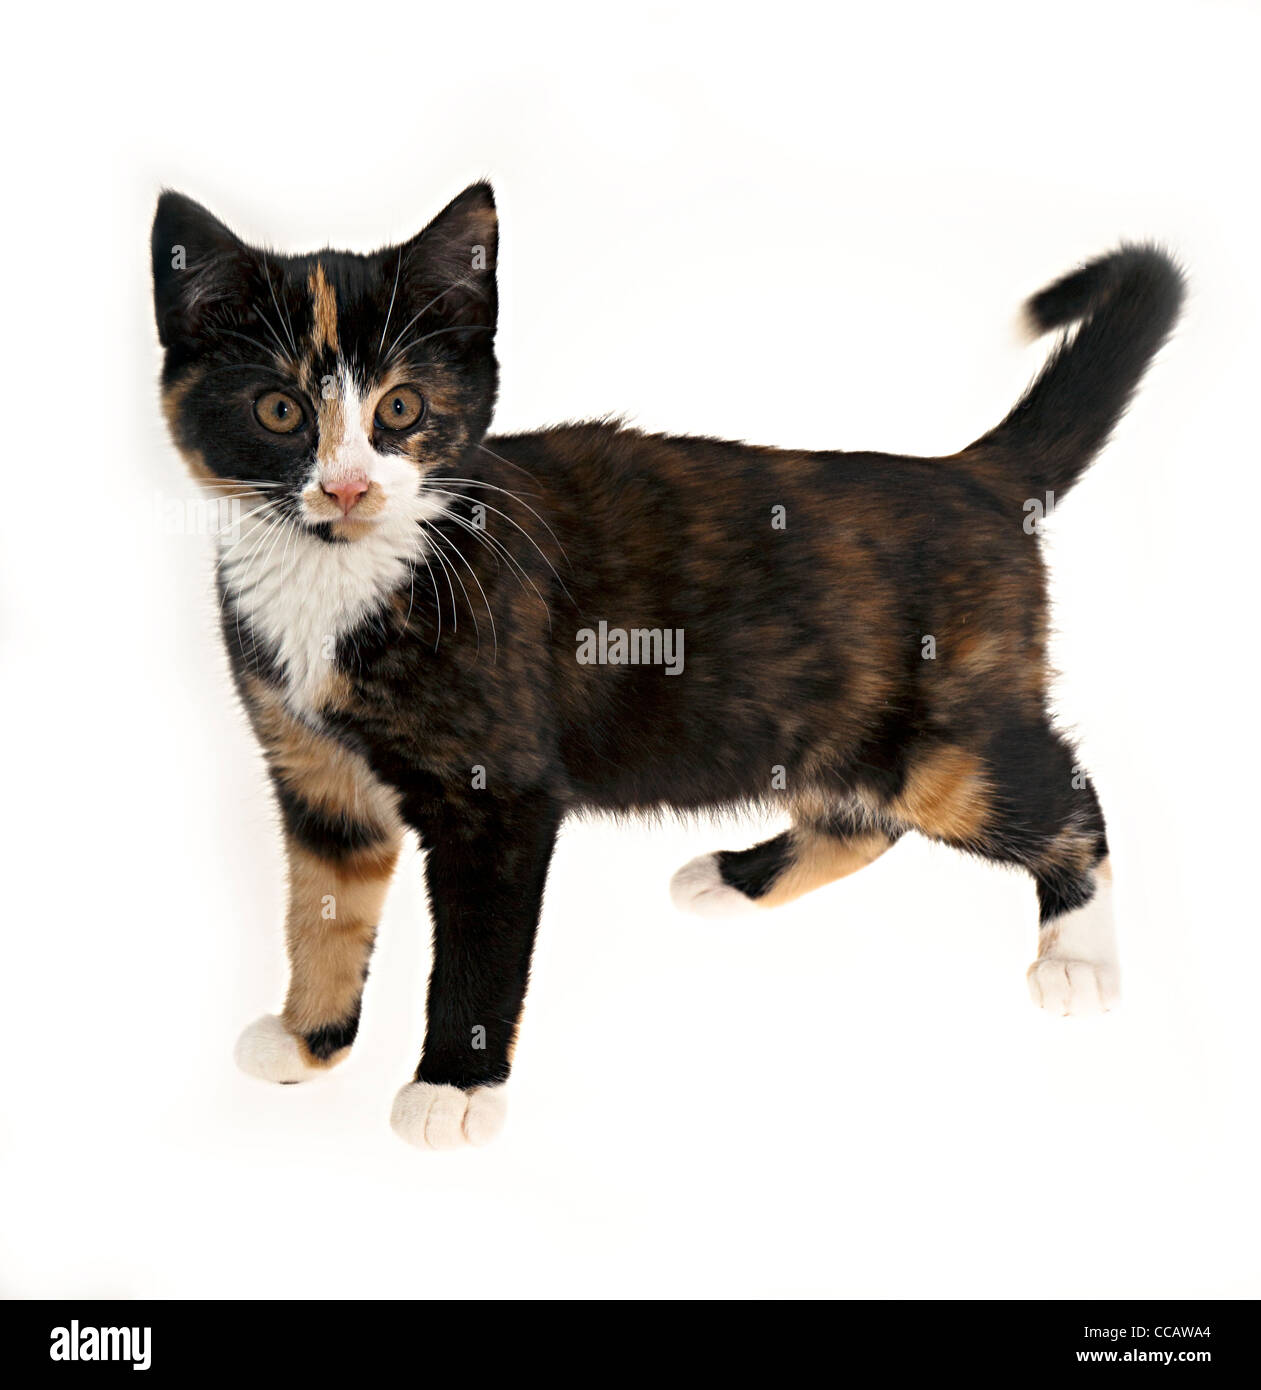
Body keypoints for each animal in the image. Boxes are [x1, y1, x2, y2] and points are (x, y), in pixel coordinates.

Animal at [150, 190, 1184, 1156]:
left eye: (399, 408)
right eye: (279, 410)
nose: (348, 486)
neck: (345, 573)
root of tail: (970, 476)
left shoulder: (500, 794)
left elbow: (480, 948)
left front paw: (451, 1090)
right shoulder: (314, 772)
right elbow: (323, 906)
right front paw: (308, 1039)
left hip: (941, 739)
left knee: (1060, 796)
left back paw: (1078, 961)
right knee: (863, 816)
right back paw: (732, 877)